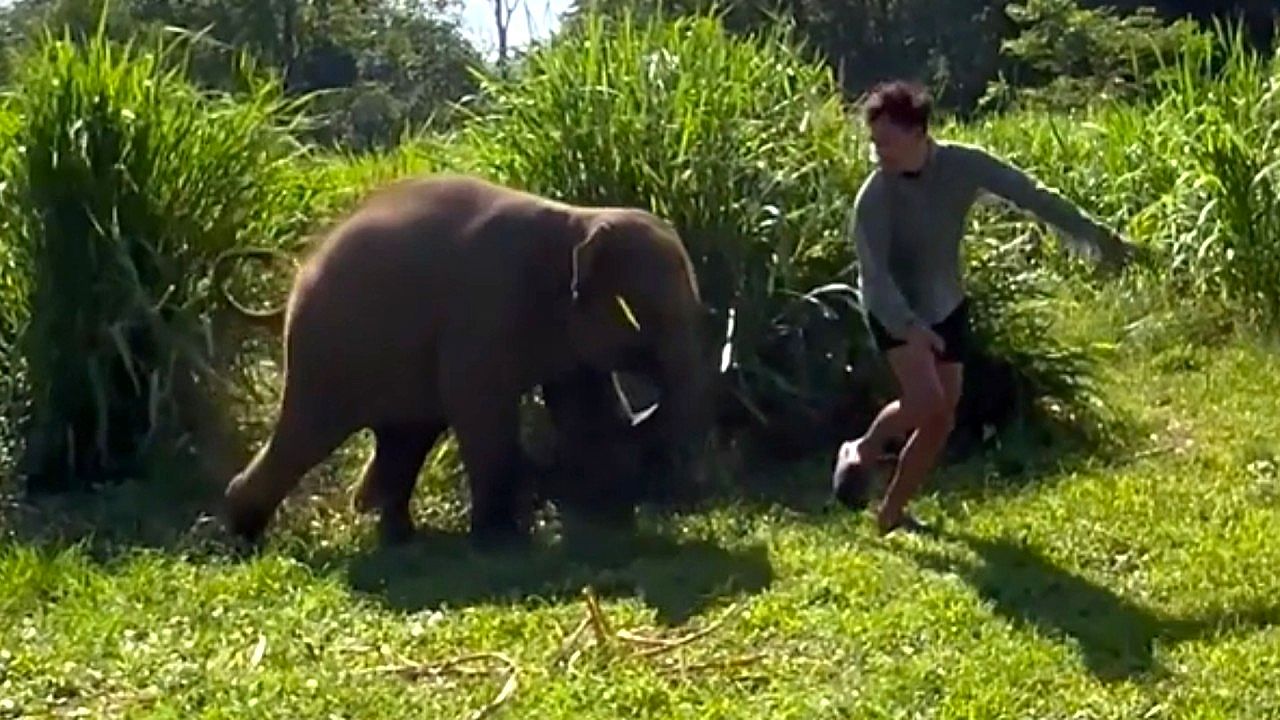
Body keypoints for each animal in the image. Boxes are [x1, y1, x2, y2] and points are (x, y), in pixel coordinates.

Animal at [218, 174, 714, 549]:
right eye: (643, 314)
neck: (580, 219)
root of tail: (300, 272)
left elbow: (580, 404)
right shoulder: (487, 307)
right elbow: (479, 405)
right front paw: (502, 542)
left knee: (406, 436)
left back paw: (397, 534)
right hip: (327, 352)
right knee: (309, 433)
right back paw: (245, 533)